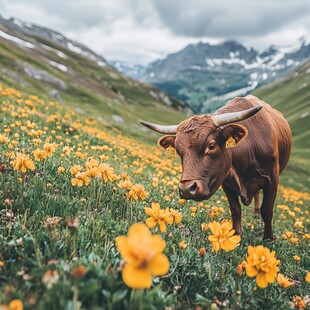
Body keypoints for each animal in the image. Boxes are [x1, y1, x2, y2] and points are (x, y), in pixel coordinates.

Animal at [142, 95, 292, 241]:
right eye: (179, 151)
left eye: (212, 146)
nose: (186, 189)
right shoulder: (226, 180)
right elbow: (235, 209)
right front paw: (236, 236)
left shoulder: (272, 178)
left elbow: (267, 211)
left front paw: (269, 240)